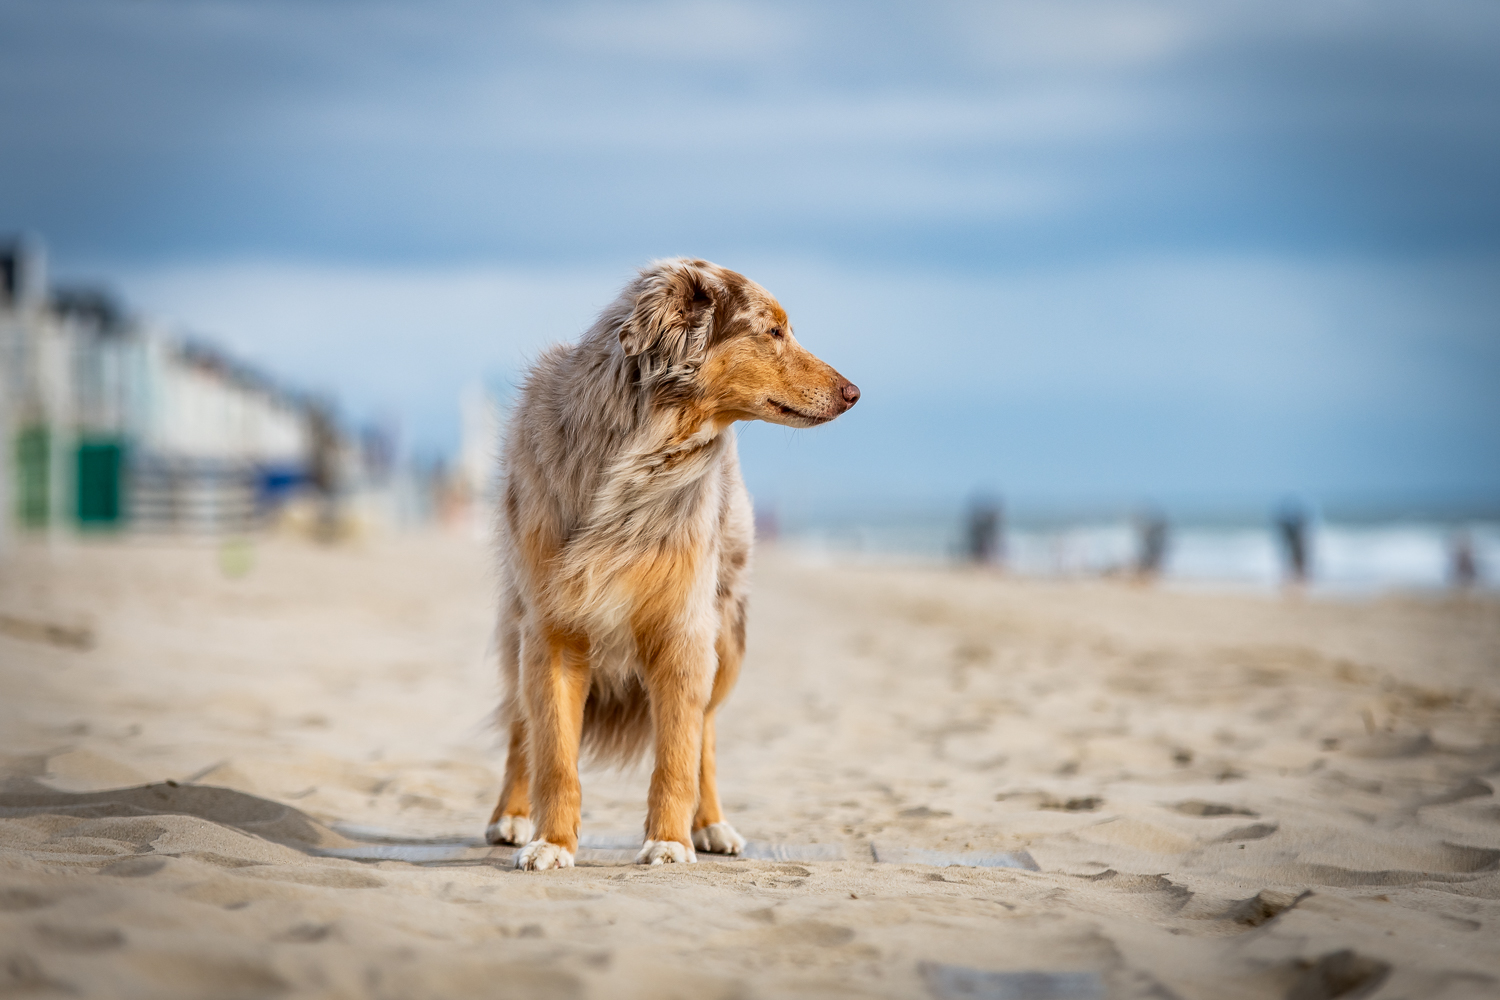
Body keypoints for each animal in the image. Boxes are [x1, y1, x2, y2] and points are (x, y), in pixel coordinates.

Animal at [480, 257, 858, 869]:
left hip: (727, 634)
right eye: (773, 331)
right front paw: (551, 842)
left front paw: (670, 841)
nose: (854, 392)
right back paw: (510, 816)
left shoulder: (684, 629)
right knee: (520, 726)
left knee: (705, 733)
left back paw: (711, 825)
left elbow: (679, 753)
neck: (641, 451)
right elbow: (554, 754)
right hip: (516, 627)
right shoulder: (552, 629)